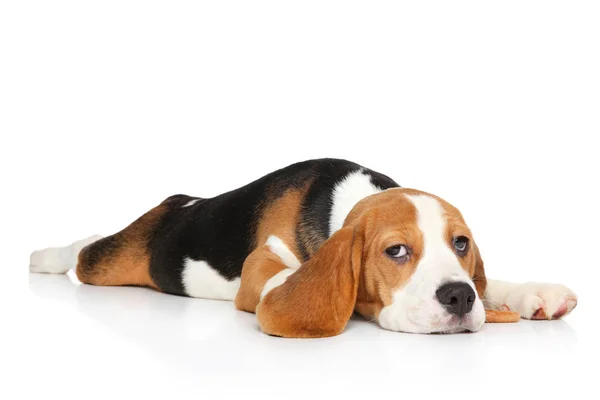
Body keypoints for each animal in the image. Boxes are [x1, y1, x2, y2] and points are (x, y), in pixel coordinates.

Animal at [30, 159, 580, 338]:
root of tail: (183, 201)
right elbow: (280, 277)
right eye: (396, 251)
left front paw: (534, 293)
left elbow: (497, 283)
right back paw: (45, 258)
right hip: (117, 259)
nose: (459, 298)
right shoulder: (258, 265)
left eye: (461, 243)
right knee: (86, 251)